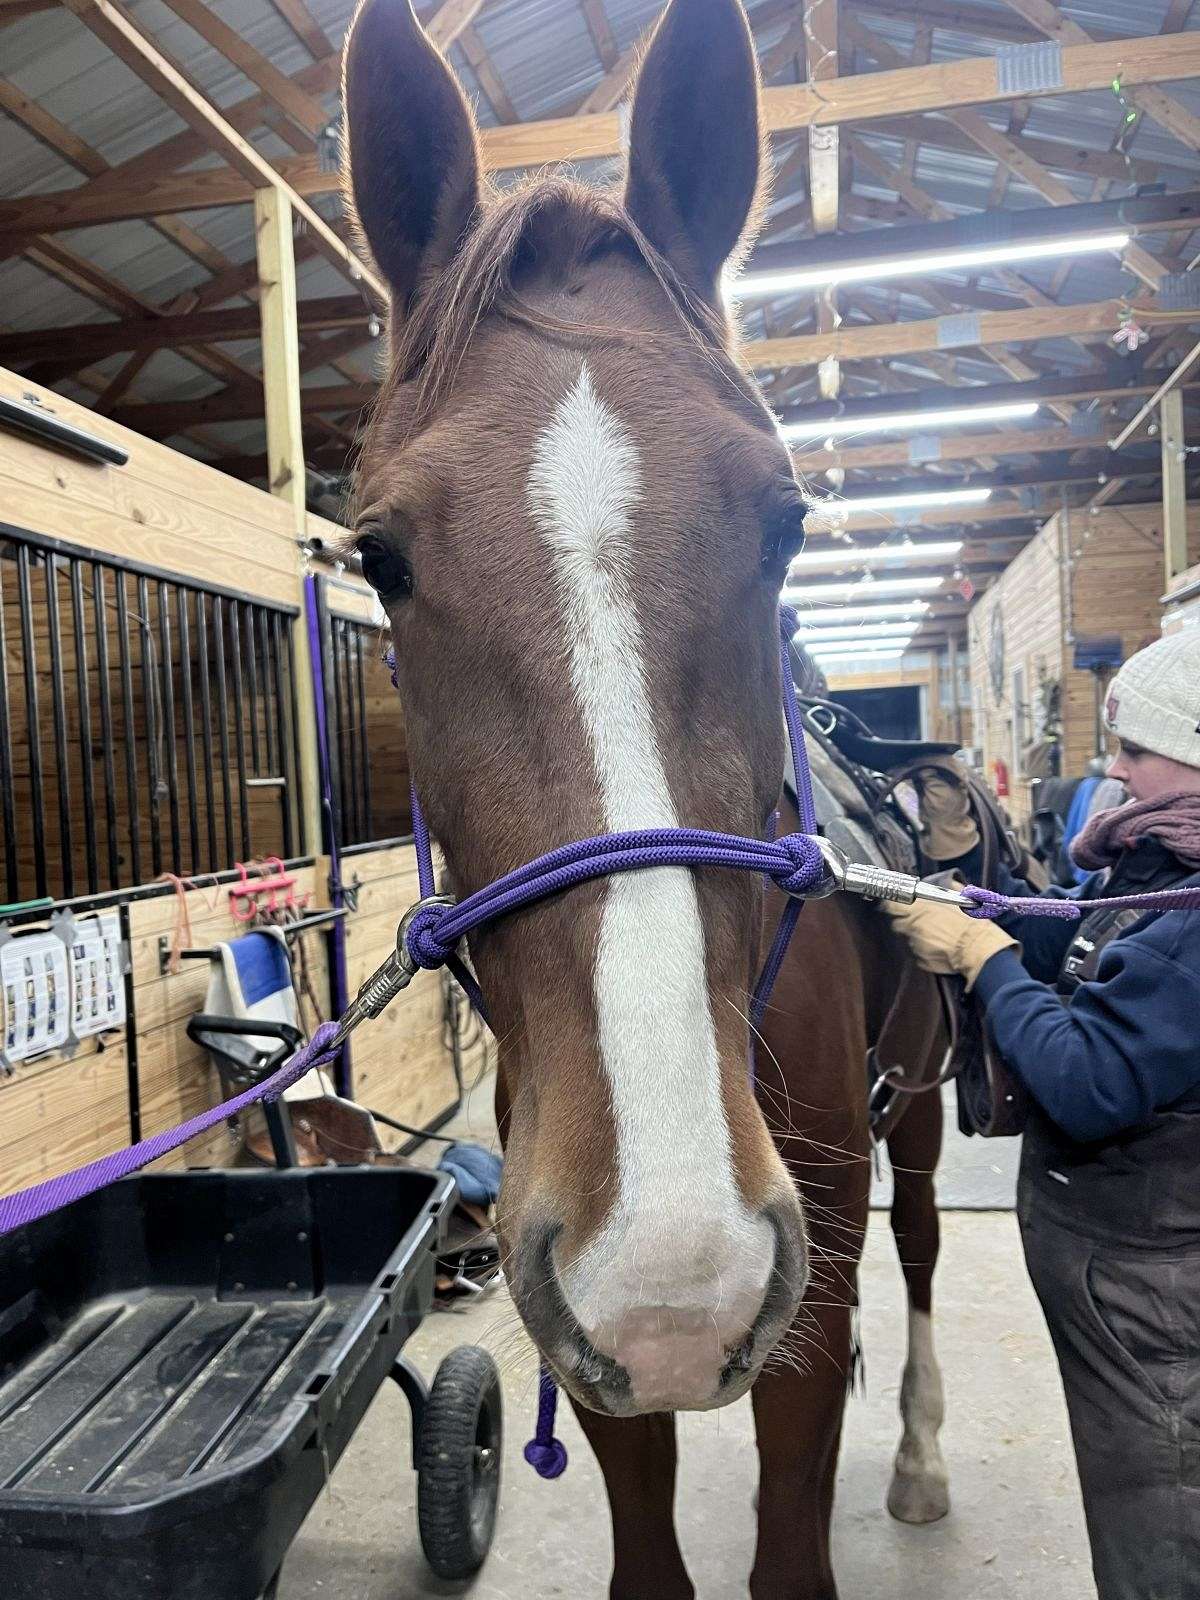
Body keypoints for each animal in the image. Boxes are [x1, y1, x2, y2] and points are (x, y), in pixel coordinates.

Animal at [342, 0, 950, 1592]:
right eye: (378, 558)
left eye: (787, 526)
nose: (670, 1264)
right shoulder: (590, 1334)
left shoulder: (804, 1296)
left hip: (922, 1110)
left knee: (930, 1243)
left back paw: (921, 1454)